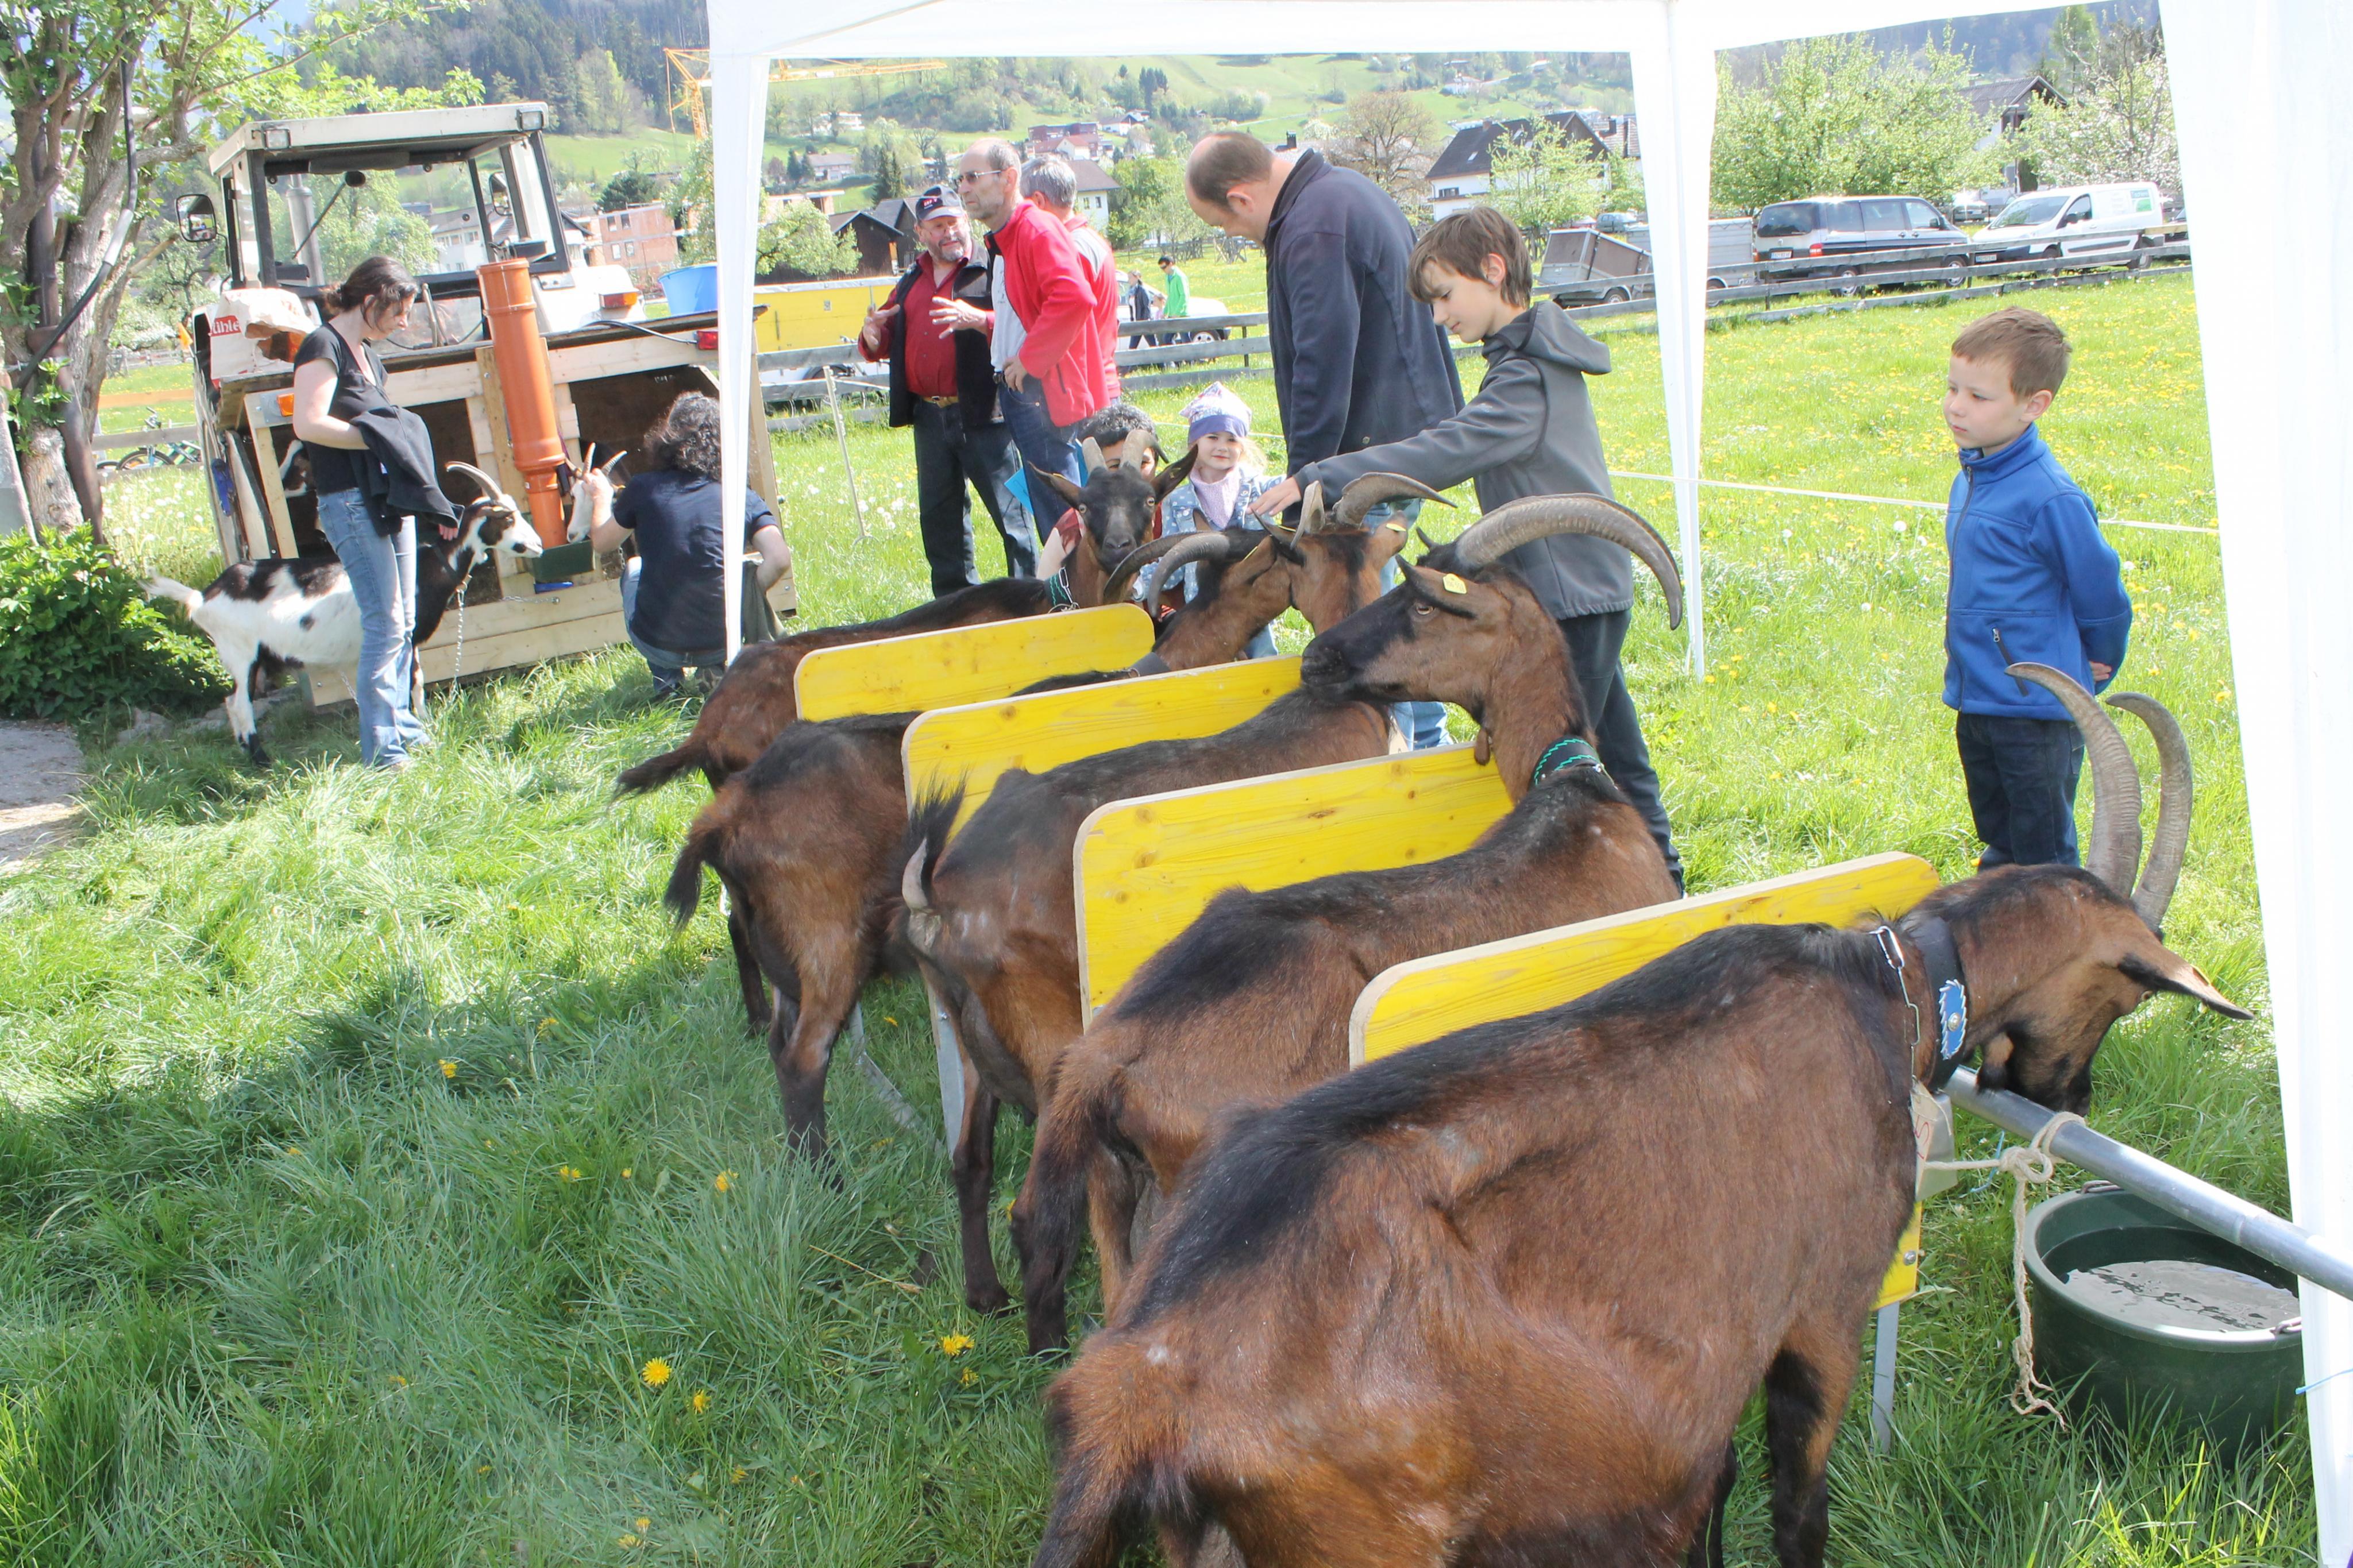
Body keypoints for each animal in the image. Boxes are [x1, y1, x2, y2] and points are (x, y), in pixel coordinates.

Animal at [148, 462, 540, 766]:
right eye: (507, 517)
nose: (536, 545)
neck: (429, 566)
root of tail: (203, 597)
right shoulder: (407, 636)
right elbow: (414, 682)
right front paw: (423, 727)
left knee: (235, 703)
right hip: (241, 652)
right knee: (238, 702)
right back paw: (261, 760)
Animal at [895, 475, 1441, 1315]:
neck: (1336, 705)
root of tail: (943, 893)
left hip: (970, 1029)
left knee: (970, 1158)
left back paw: (987, 1296)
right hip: (1052, 1034)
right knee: (1060, 1200)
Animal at [1030, 675, 2243, 1568]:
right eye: (2127, 991)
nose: (2070, 1099)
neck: (1891, 984)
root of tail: (1138, 1389)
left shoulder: (1701, 1386)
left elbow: (1713, 1498)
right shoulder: (1819, 1317)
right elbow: (1798, 1511)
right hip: (1362, 1541)